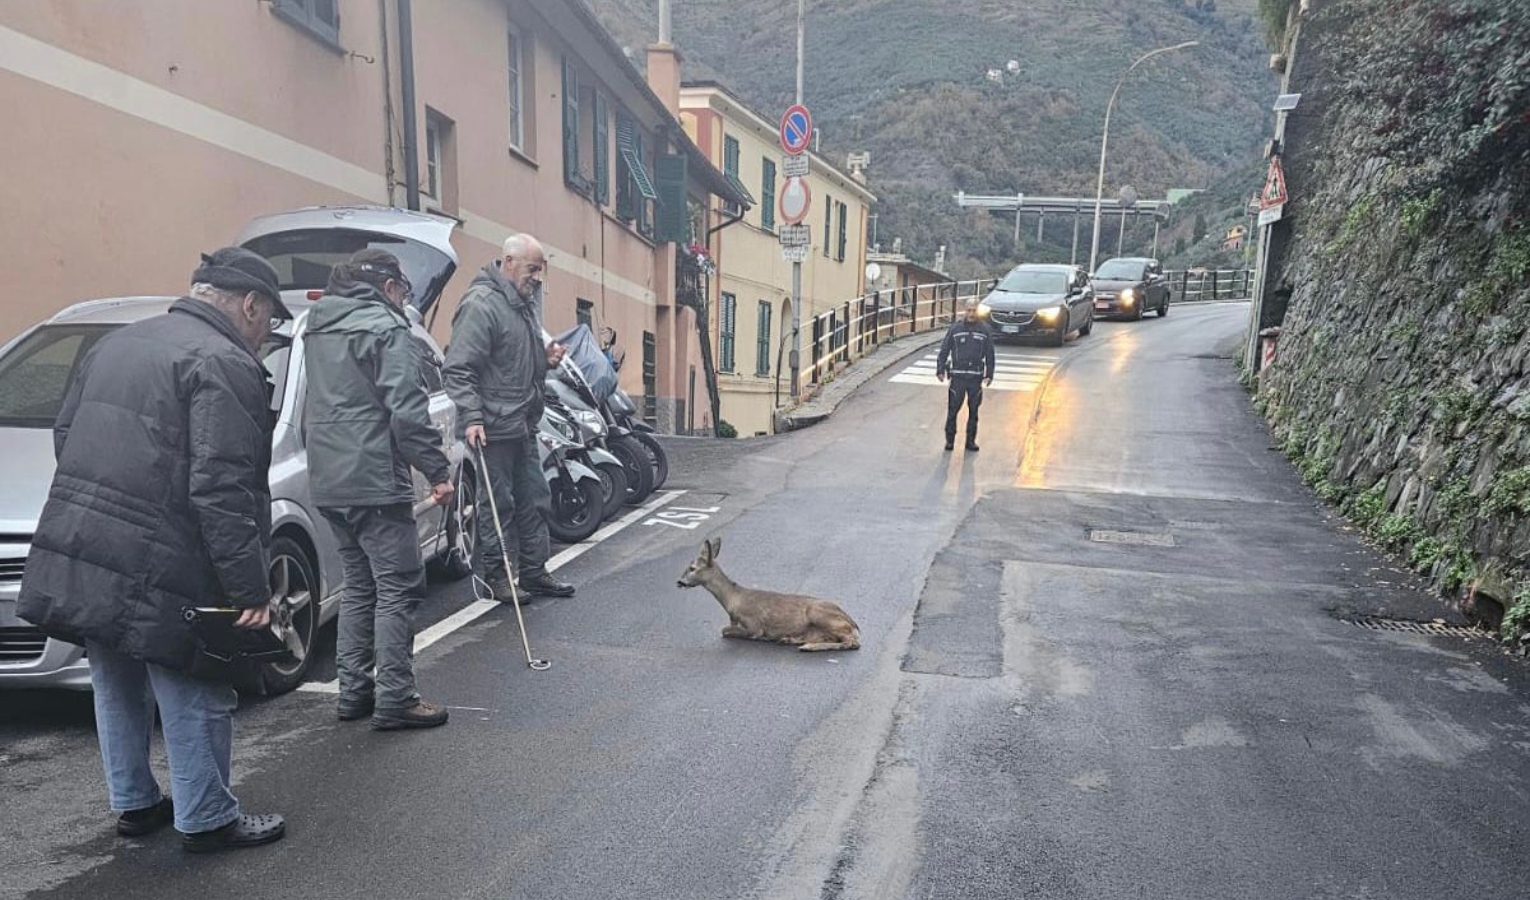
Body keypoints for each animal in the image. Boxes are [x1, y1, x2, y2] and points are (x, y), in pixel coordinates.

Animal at [679, 538, 862, 648]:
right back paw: (791, 639)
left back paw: (806, 646)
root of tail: (854, 624)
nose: (679, 581)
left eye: (692, 568)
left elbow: (725, 630)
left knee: (852, 642)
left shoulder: (754, 624)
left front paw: (762, 637)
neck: (733, 600)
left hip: (817, 613)